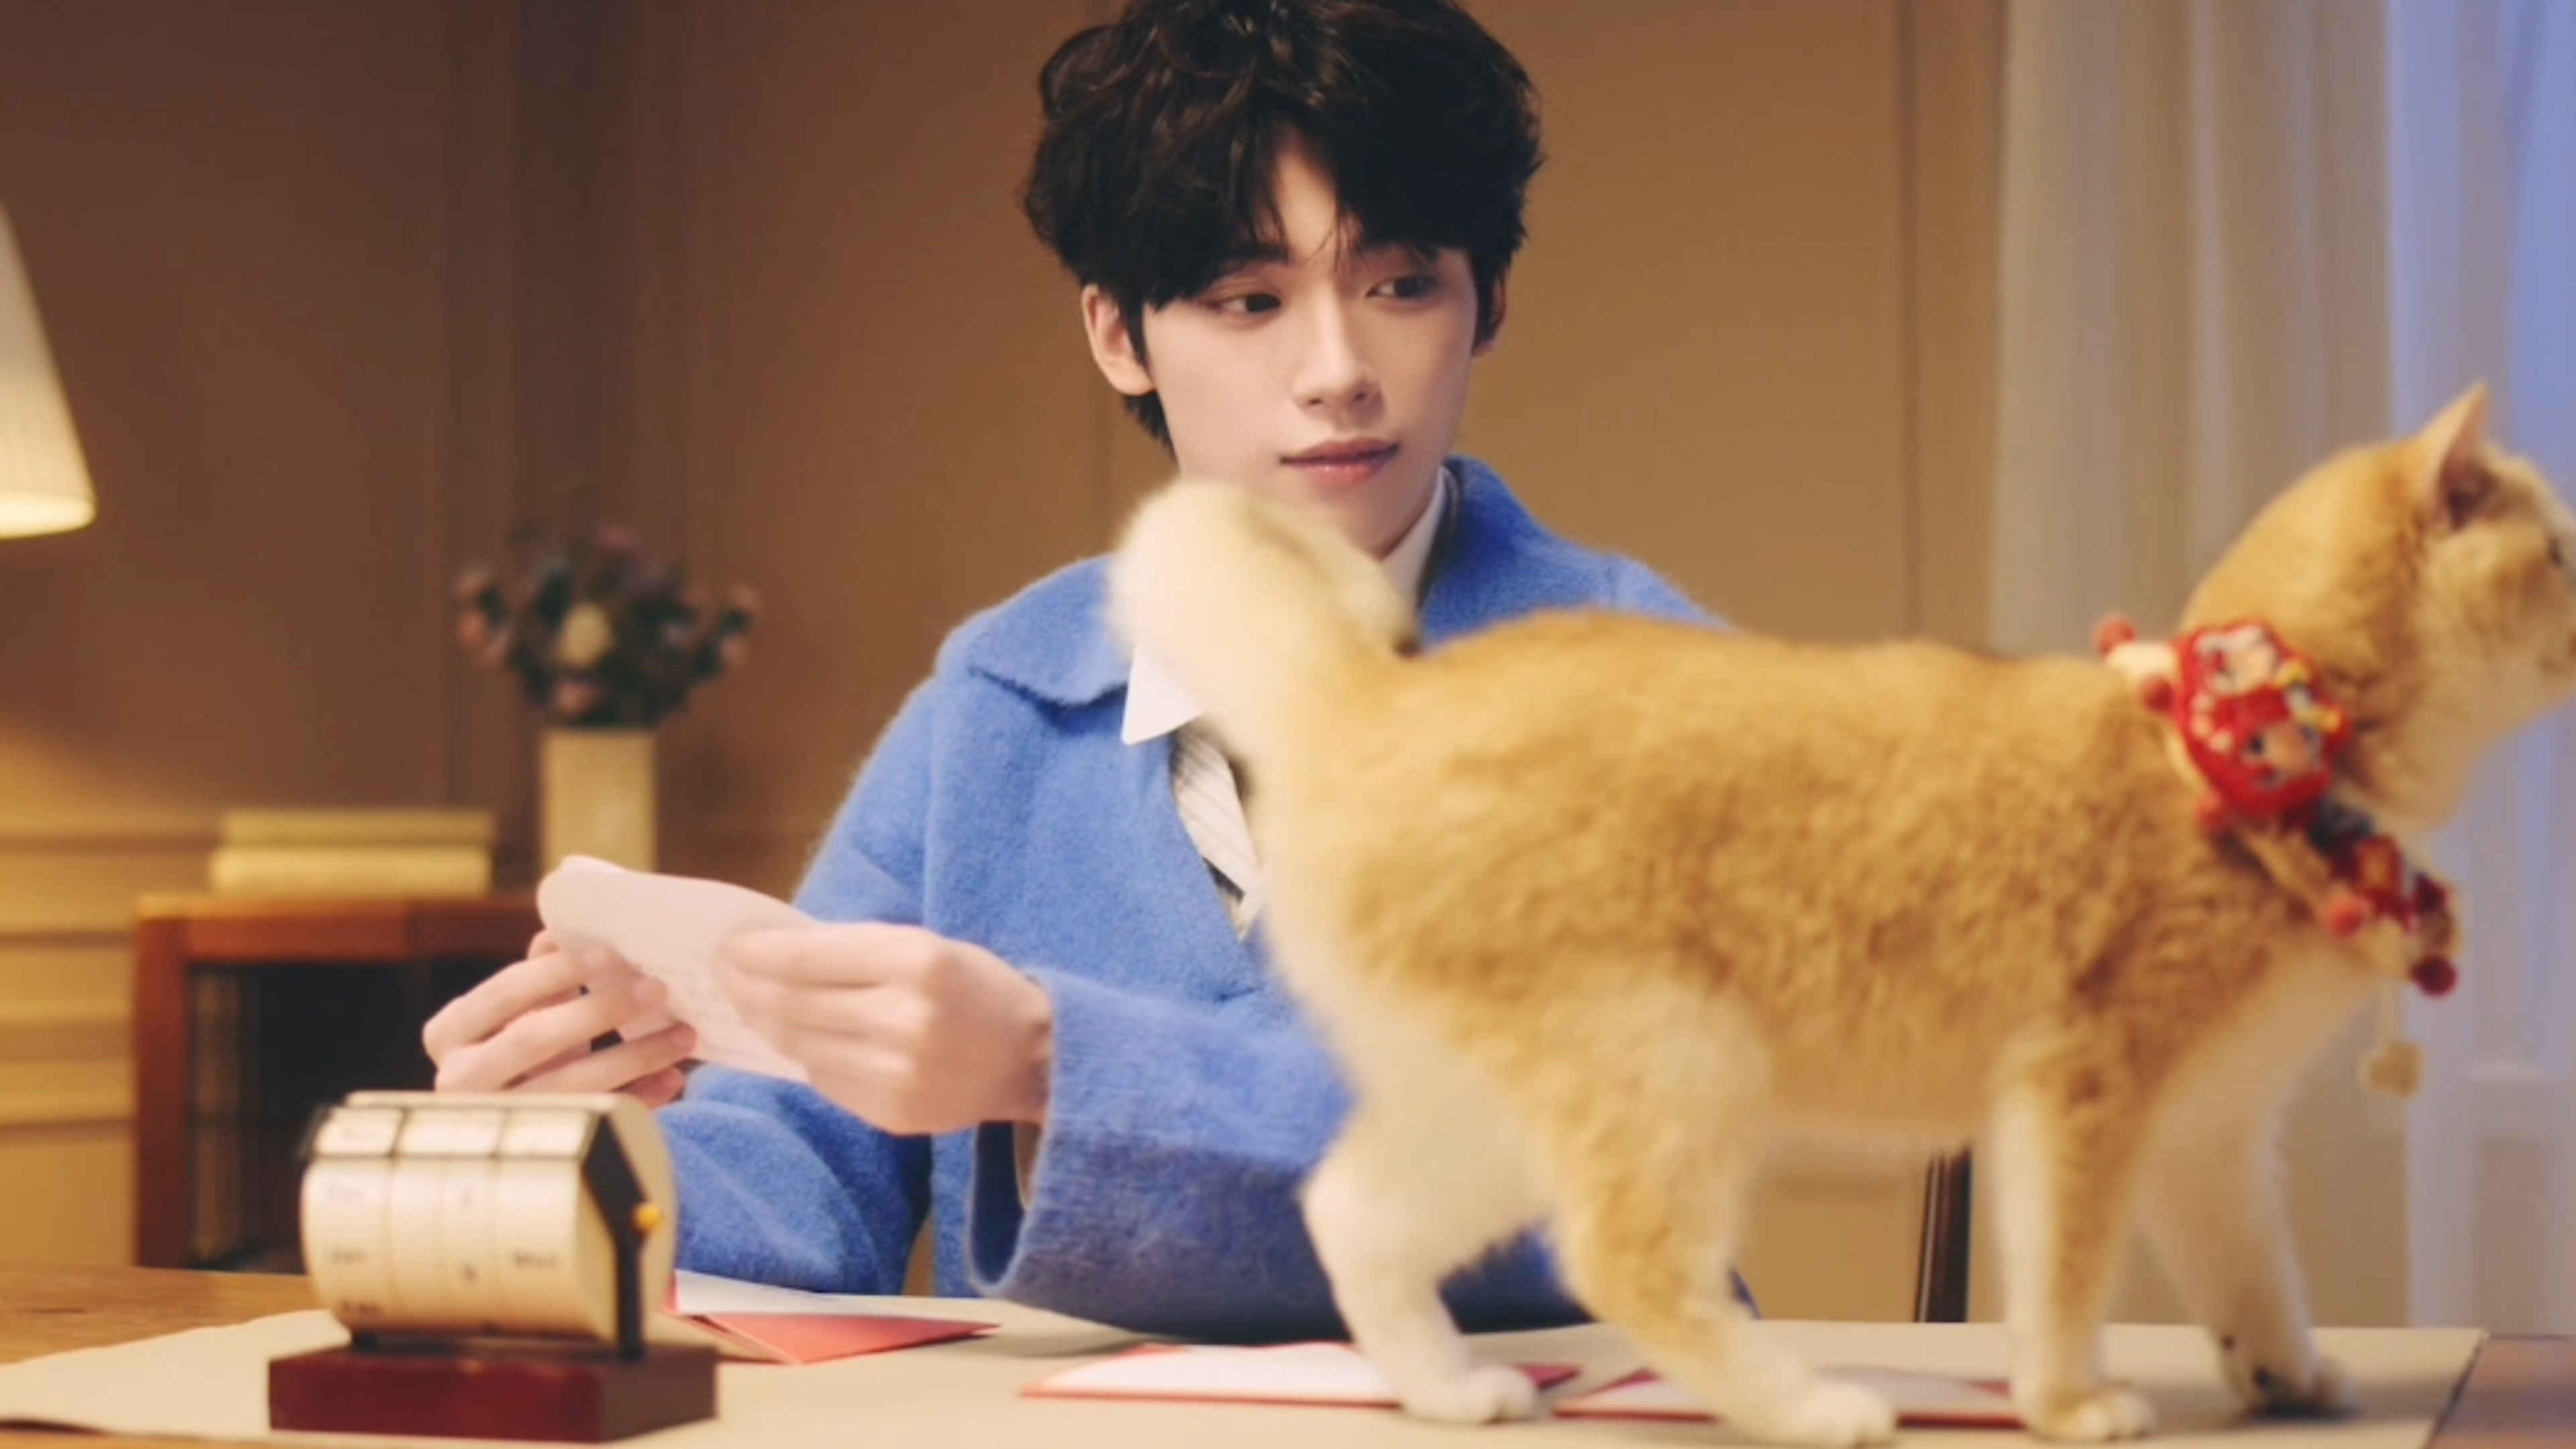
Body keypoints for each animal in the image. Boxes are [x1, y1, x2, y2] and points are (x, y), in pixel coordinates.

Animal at [1105, 385, 2576, 1445]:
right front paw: (2069, 1403)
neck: (2237, 743)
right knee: (1629, 1263)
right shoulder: (2081, 1097)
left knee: (1353, 1214)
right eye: (2560, 547)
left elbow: (2253, 1279)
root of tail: (1376, 700)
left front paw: (2288, 1379)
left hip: (1495, 1113)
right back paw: (1811, 1405)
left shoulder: (2206, 1134)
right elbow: (2063, 1277)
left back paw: (1453, 1393)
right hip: (1669, 1061)